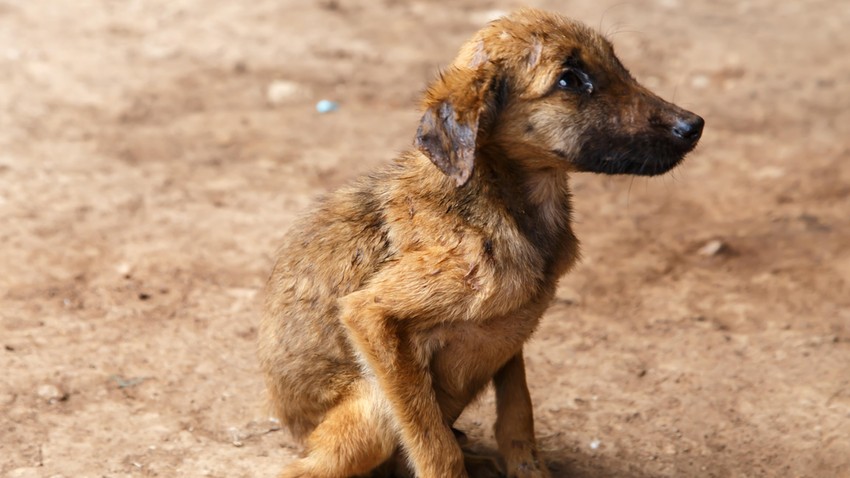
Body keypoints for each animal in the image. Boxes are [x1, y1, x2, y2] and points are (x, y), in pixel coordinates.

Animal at [258, 8, 704, 478]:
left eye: (617, 63)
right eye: (569, 79)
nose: (694, 125)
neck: (500, 201)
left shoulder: (515, 336)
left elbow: (518, 413)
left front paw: (528, 468)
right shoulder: (371, 315)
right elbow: (434, 446)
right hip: (373, 401)